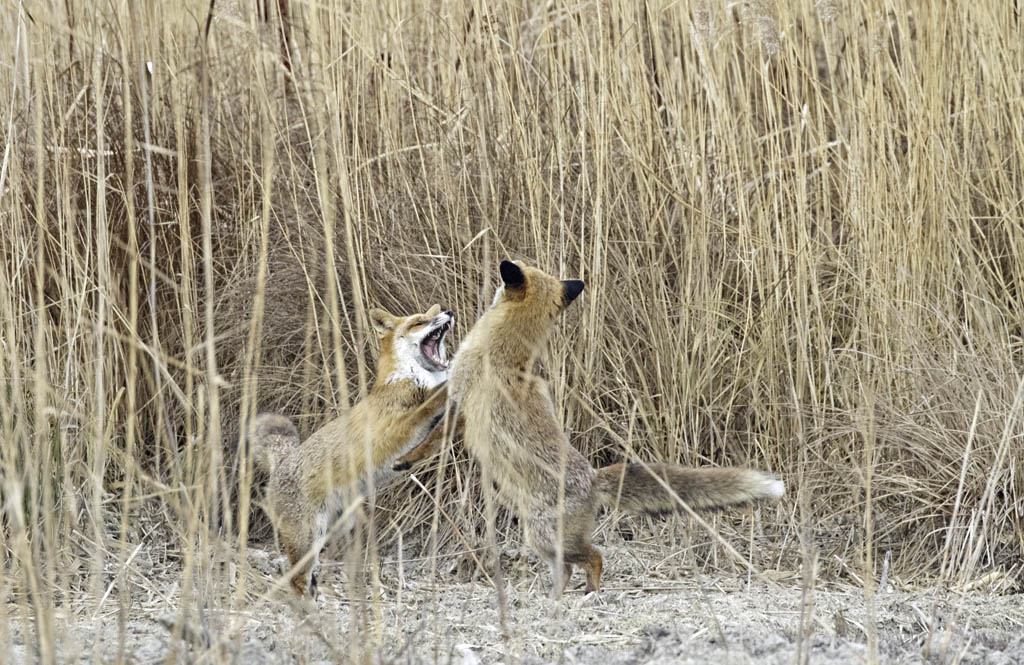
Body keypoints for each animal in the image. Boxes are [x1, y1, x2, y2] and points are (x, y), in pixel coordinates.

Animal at [245, 303, 454, 594]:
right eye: (419, 322)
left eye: (432, 315)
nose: (449, 311)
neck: (408, 378)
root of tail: (282, 463)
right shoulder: (399, 425)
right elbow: (437, 395)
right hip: (307, 538)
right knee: (297, 579)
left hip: (339, 528)